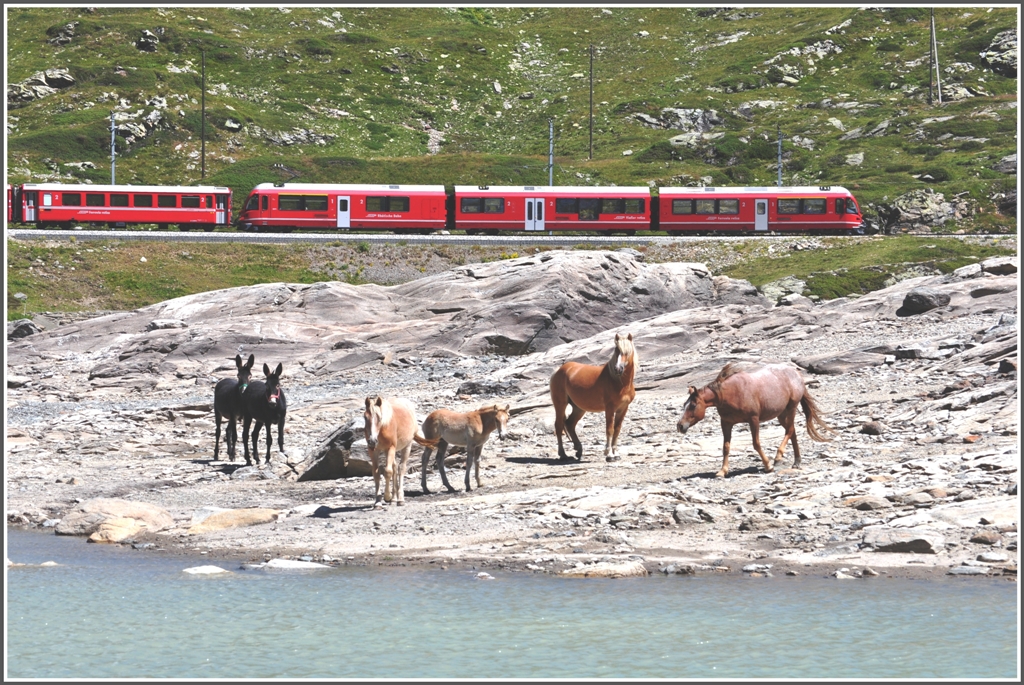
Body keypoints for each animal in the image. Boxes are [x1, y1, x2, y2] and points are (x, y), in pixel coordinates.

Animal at [549, 332, 638, 462]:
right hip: (560, 405)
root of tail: (559, 370)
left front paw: (616, 454)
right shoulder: (610, 408)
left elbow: (617, 430)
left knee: (570, 424)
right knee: (559, 426)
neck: (619, 382)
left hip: (579, 408)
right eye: (616, 350)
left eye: (627, 352)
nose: (618, 369)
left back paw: (578, 450)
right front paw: (609, 455)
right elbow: (610, 430)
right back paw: (563, 455)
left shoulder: (623, 408)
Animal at [676, 361, 833, 478]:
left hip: (791, 408)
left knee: (790, 430)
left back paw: (778, 458)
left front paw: (768, 466)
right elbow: (726, 447)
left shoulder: (753, 419)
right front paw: (722, 471)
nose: (680, 426)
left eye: (693, 405)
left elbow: (756, 443)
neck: (729, 394)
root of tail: (797, 374)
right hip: (781, 414)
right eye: (684, 404)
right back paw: (796, 462)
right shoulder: (726, 423)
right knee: (792, 432)